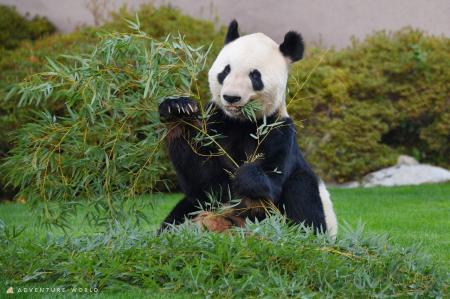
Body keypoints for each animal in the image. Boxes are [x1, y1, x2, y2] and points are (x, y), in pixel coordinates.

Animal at [158, 20, 338, 237]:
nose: (231, 97)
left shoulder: (278, 130)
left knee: (302, 194)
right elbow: (203, 183)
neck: (241, 121)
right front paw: (178, 110)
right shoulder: (215, 121)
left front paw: (246, 176)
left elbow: (272, 183)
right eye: (225, 71)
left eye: (255, 76)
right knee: (182, 212)